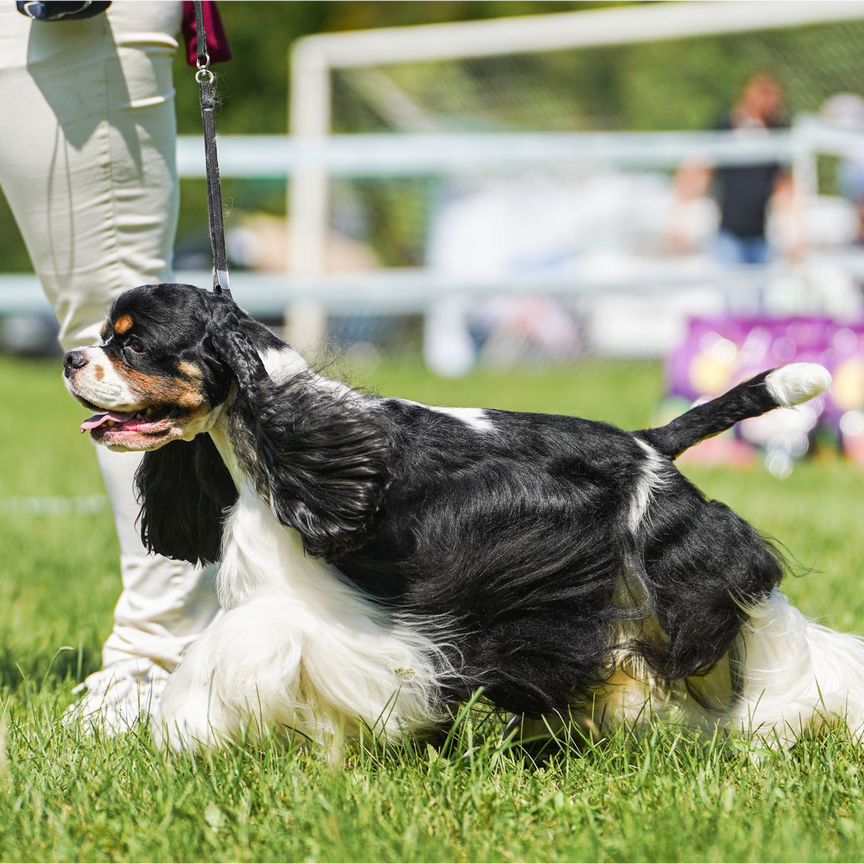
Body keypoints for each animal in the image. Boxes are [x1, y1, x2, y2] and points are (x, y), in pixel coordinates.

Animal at [64, 286, 864, 756]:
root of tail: (648, 444)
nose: (72, 357)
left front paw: (183, 734)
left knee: (766, 624)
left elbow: (229, 659)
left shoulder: (320, 609)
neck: (279, 427)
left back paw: (780, 728)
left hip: (685, 566)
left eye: (131, 343)